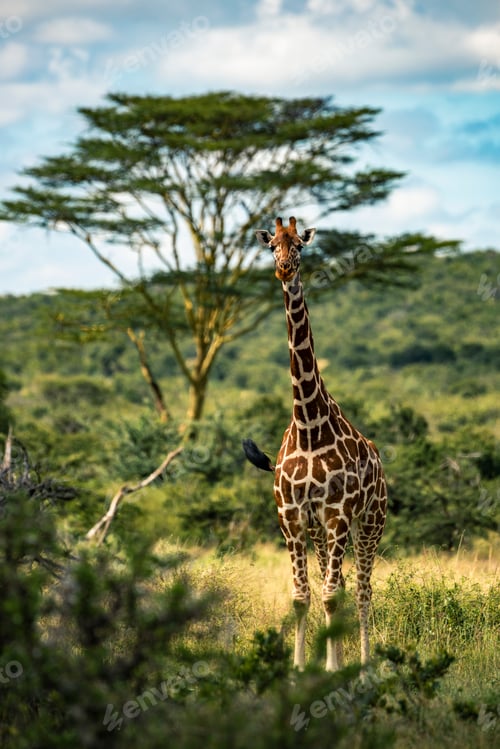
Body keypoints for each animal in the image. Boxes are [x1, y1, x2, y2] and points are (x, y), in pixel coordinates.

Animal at [243, 216, 387, 672]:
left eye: (301, 247)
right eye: (272, 245)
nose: (284, 270)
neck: (308, 425)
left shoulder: (338, 514)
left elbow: (332, 595)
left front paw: (334, 669)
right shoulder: (291, 517)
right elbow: (302, 597)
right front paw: (300, 669)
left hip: (370, 521)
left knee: (362, 592)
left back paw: (365, 665)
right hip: (320, 531)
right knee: (335, 583)